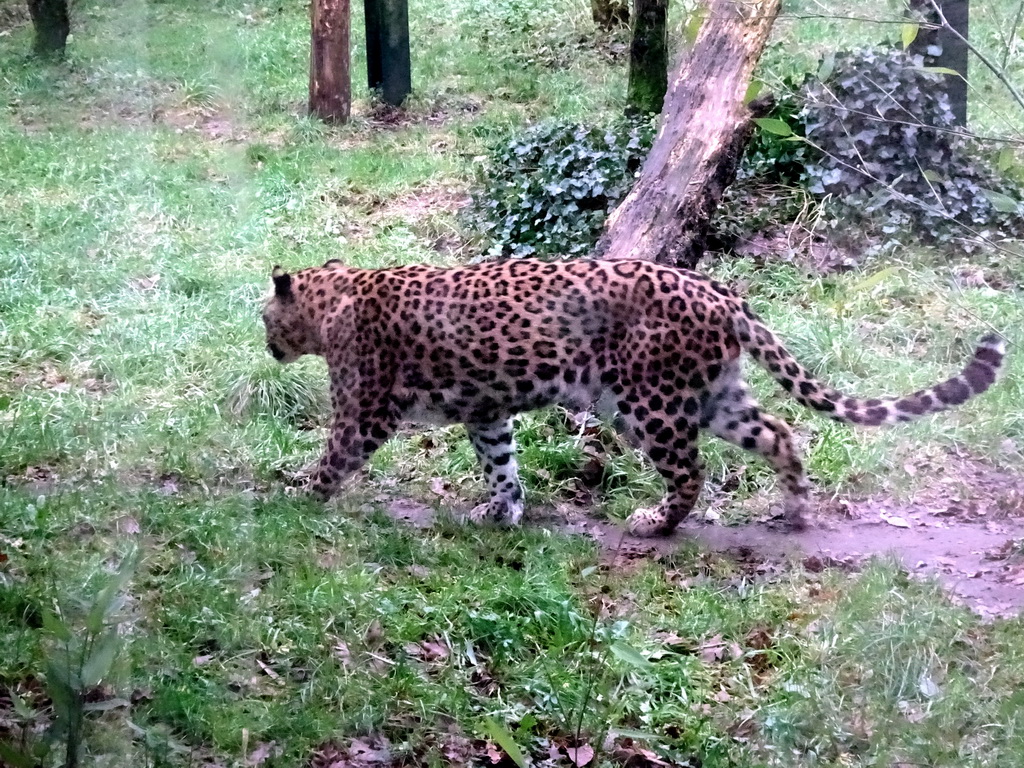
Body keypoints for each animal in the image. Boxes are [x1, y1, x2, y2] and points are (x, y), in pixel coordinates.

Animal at [260, 257, 1003, 536]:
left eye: (265, 317)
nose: (265, 344)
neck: (331, 298)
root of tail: (721, 292)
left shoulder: (364, 410)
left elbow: (332, 458)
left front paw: (292, 500)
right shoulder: (487, 411)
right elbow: (501, 464)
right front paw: (501, 512)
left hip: (649, 402)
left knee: (692, 470)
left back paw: (656, 522)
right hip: (715, 396)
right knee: (781, 432)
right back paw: (793, 510)